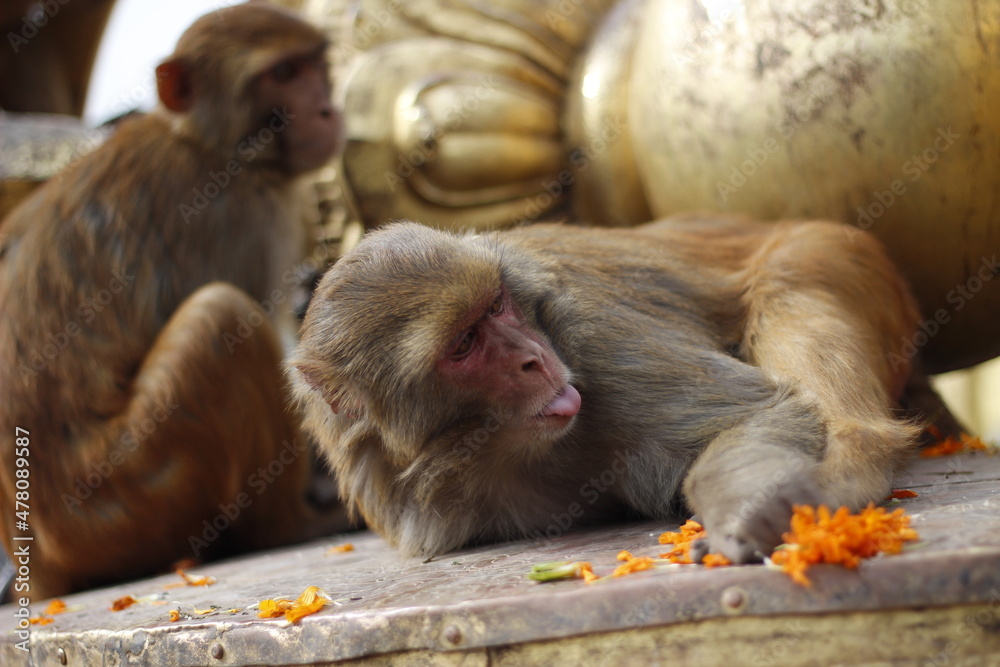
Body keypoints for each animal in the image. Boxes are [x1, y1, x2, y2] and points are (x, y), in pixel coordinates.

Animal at [0, 2, 344, 599]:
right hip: (133, 492)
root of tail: (42, 567)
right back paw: (289, 526)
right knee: (220, 316)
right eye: (282, 74)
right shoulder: (246, 218)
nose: (326, 108)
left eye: (313, 66)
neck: (205, 143)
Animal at [289, 214, 940, 563]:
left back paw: (851, 467)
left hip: (836, 253)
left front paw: (748, 516)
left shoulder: (592, 333)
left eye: (497, 305)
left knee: (788, 290)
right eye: (465, 342)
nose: (533, 360)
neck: (489, 451)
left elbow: (757, 411)